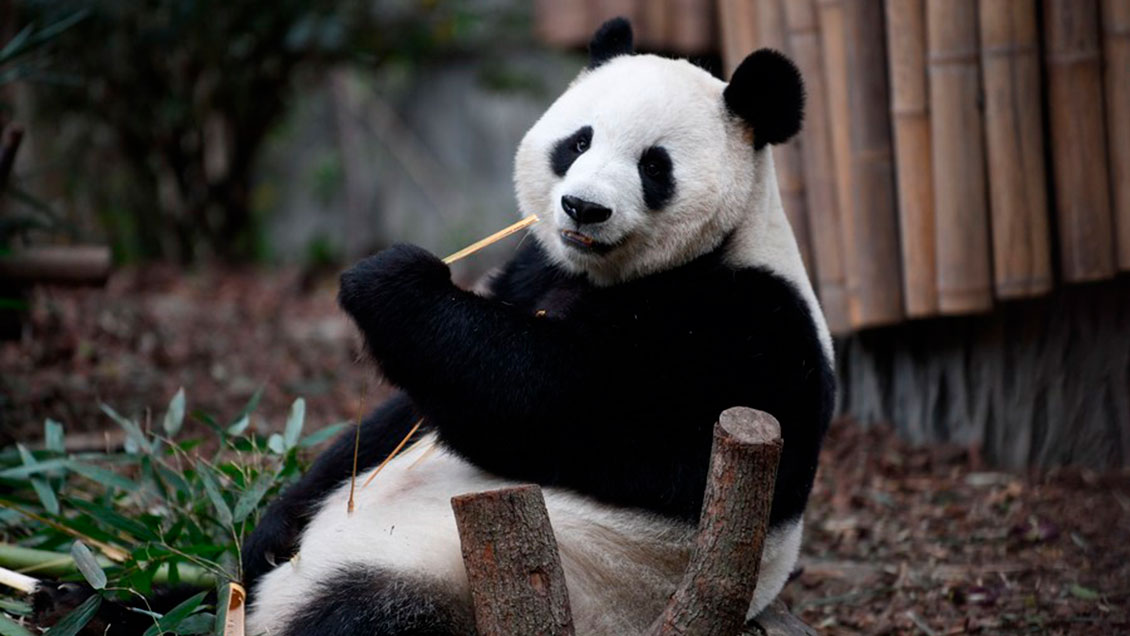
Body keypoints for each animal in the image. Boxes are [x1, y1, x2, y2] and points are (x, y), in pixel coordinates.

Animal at [242, 17, 834, 636]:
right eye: (578, 142)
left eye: (654, 165)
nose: (583, 208)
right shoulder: (535, 268)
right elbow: (402, 417)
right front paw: (273, 526)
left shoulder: (746, 331)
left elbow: (554, 403)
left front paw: (390, 280)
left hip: (455, 581)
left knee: (360, 611)